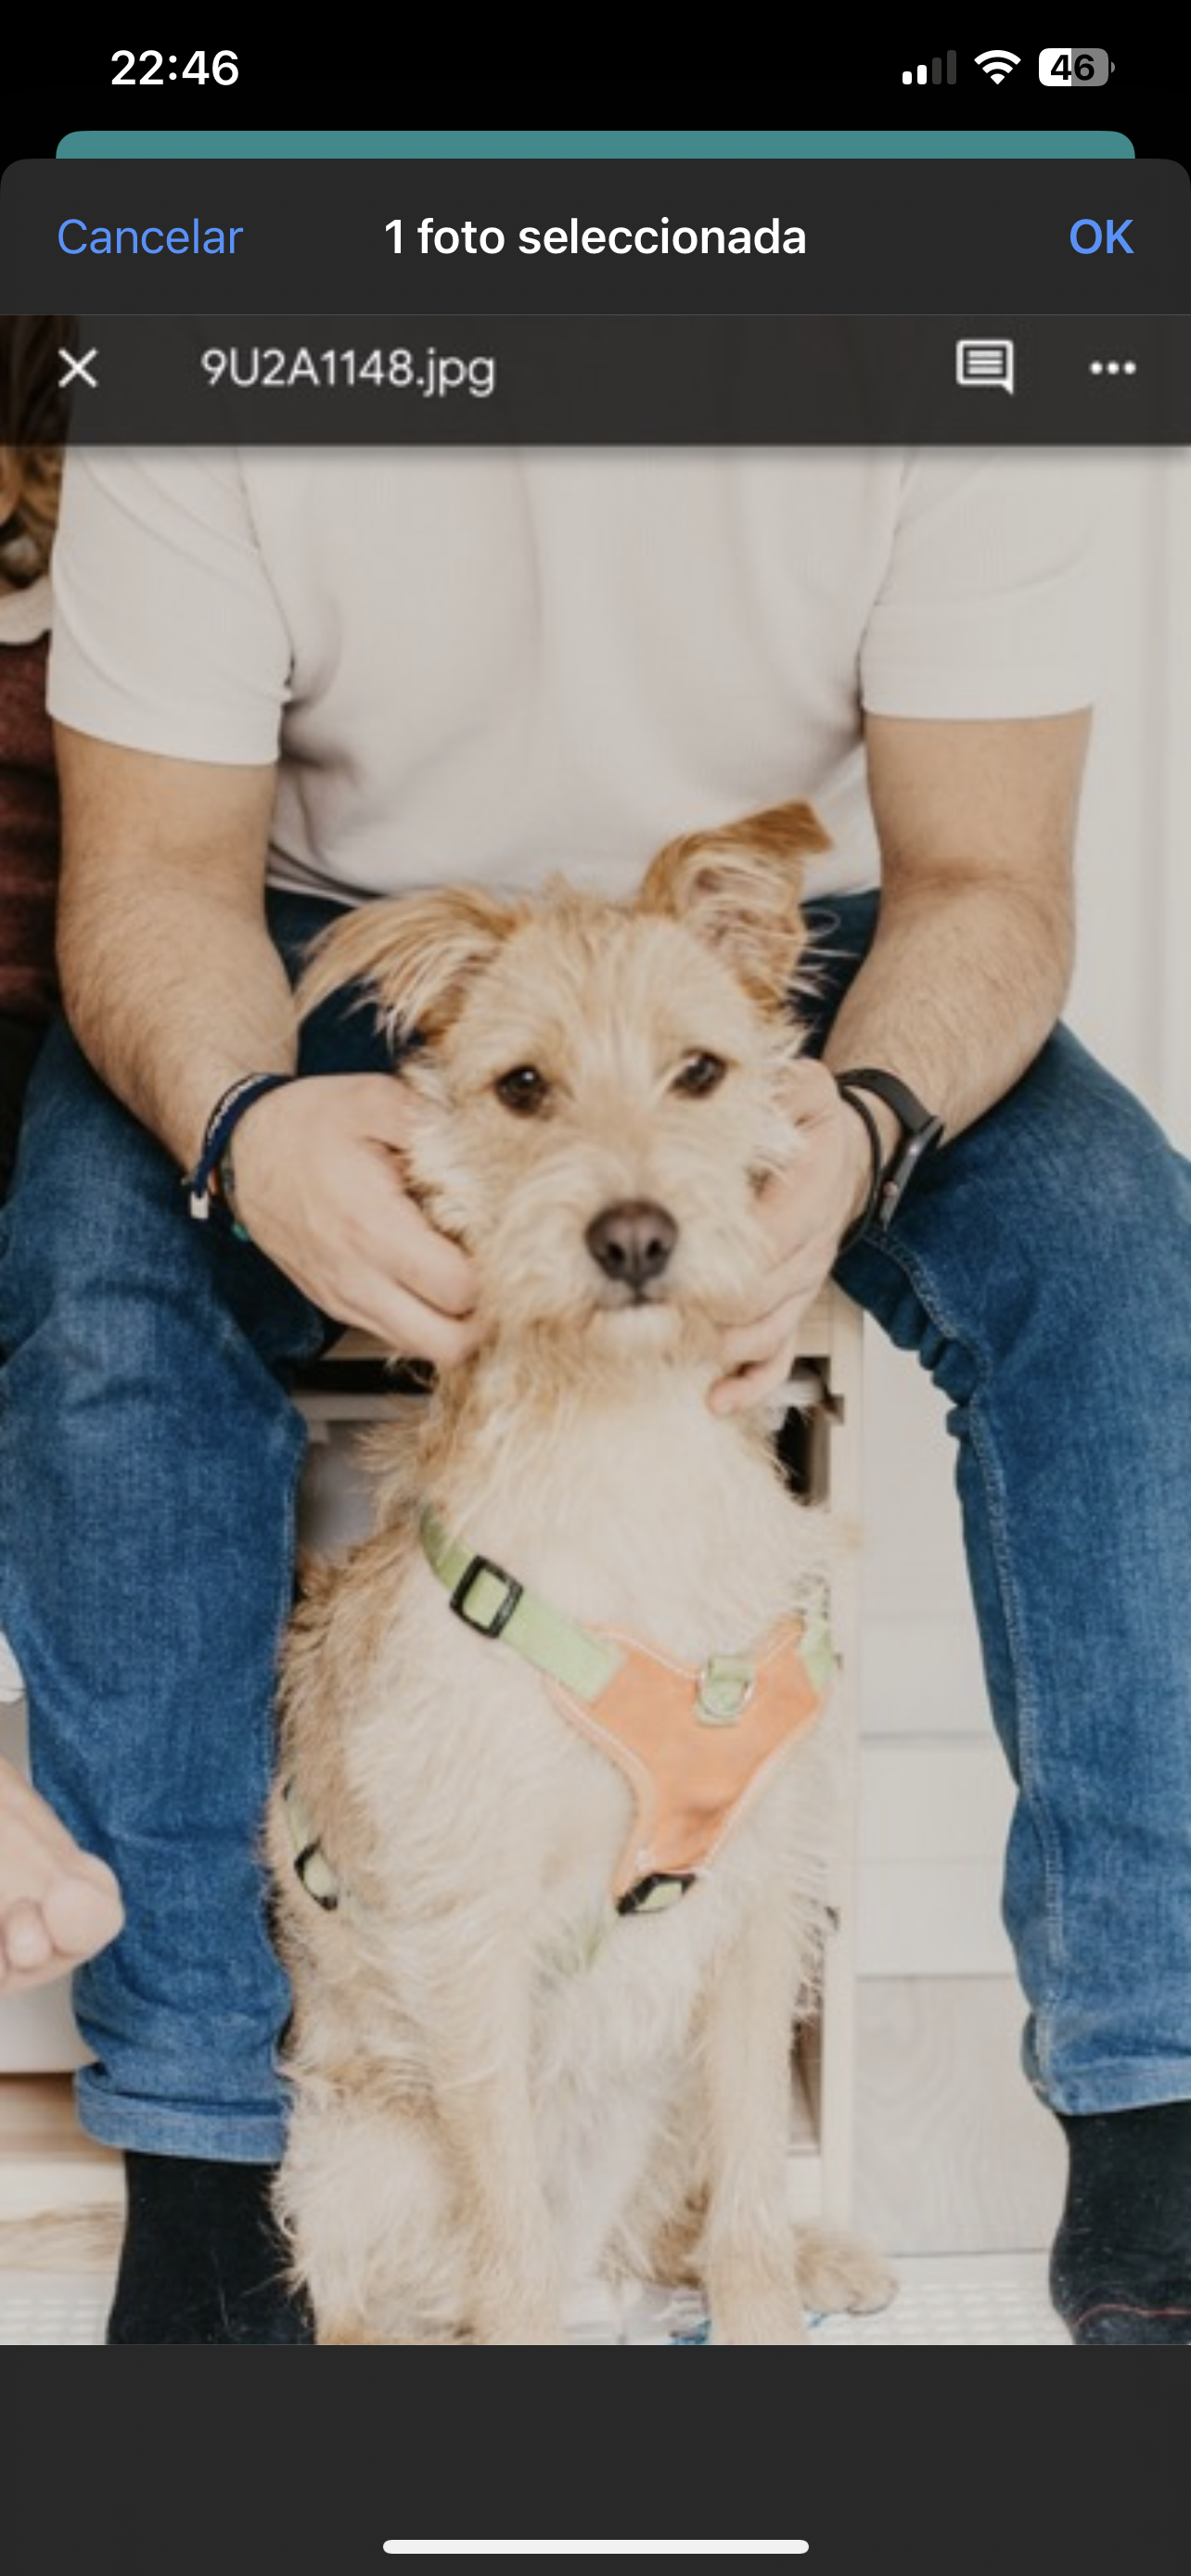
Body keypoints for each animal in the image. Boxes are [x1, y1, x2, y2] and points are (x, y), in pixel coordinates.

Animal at [264, 799, 896, 2344]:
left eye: (700, 1070)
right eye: (523, 1086)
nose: (633, 1235)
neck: (630, 1452)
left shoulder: (755, 1903)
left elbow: (749, 2188)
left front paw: (772, 2299)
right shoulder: (472, 1928)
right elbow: (507, 2239)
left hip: (660, 2091)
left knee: (687, 2216)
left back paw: (814, 2260)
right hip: (360, 2151)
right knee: (400, 2296)